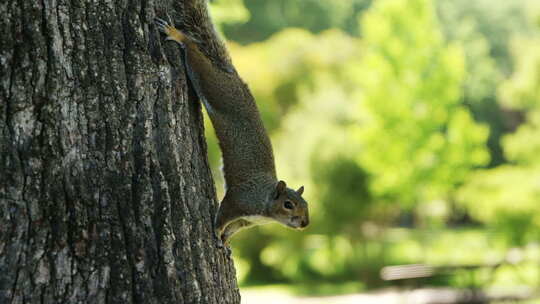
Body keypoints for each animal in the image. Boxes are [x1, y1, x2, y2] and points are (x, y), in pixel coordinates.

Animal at [154, 0, 310, 247]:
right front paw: (217, 232)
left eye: (306, 205)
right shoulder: (239, 201)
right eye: (288, 205)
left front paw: (225, 240)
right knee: (196, 55)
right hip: (215, 87)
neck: (265, 202)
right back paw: (178, 36)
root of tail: (232, 76)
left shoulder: (246, 220)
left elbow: (233, 228)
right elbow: (223, 216)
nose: (305, 223)